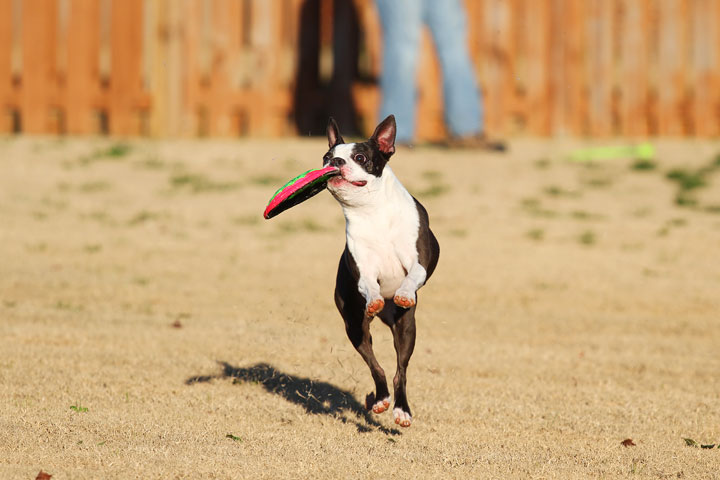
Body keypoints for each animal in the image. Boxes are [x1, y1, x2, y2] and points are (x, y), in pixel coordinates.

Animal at [324, 115, 438, 428]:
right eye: (326, 157)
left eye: (360, 157)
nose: (335, 161)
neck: (372, 211)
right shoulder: (363, 268)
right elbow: (368, 284)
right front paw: (374, 298)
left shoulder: (418, 261)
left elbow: (413, 275)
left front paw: (404, 292)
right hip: (355, 327)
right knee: (377, 366)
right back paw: (382, 400)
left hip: (406, 326)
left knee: (401, 369)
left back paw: (401, 410)